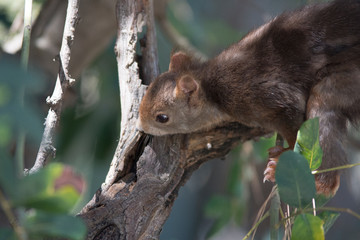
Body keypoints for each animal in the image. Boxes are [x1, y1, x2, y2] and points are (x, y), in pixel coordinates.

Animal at [136, 0, 360, 197]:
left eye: (162, 118)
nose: (140, 127)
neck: (213, 88)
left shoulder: (269, 97)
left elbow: (294, 127)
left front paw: (285, 155)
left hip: (339, 84)